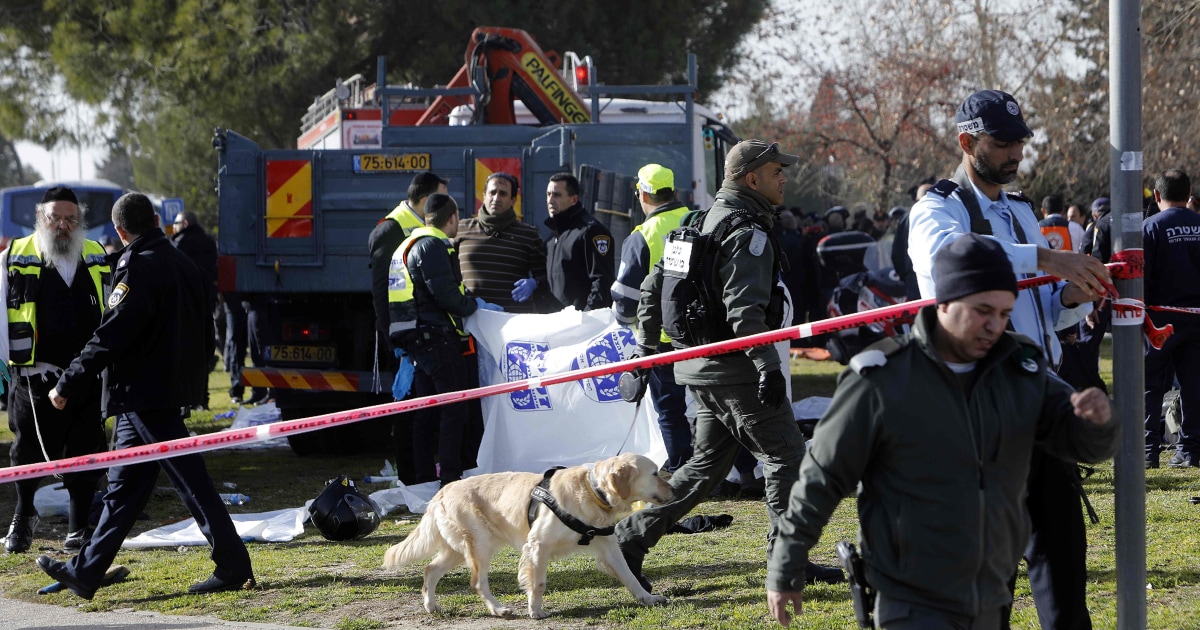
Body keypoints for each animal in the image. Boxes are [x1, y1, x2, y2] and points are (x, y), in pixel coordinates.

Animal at [381, 451, 672, 619]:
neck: (591, 491)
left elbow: (629, 576)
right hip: (480, 546)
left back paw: (431, 606)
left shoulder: (608, 546)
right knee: (477, 582)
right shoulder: (537, 545)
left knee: (430, 570)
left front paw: (648, 598)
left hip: (458, 550)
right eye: (655, 473)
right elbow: (539, 583)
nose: (673, 490)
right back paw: (498, 609)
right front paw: (535, 610)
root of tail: (442, 490)